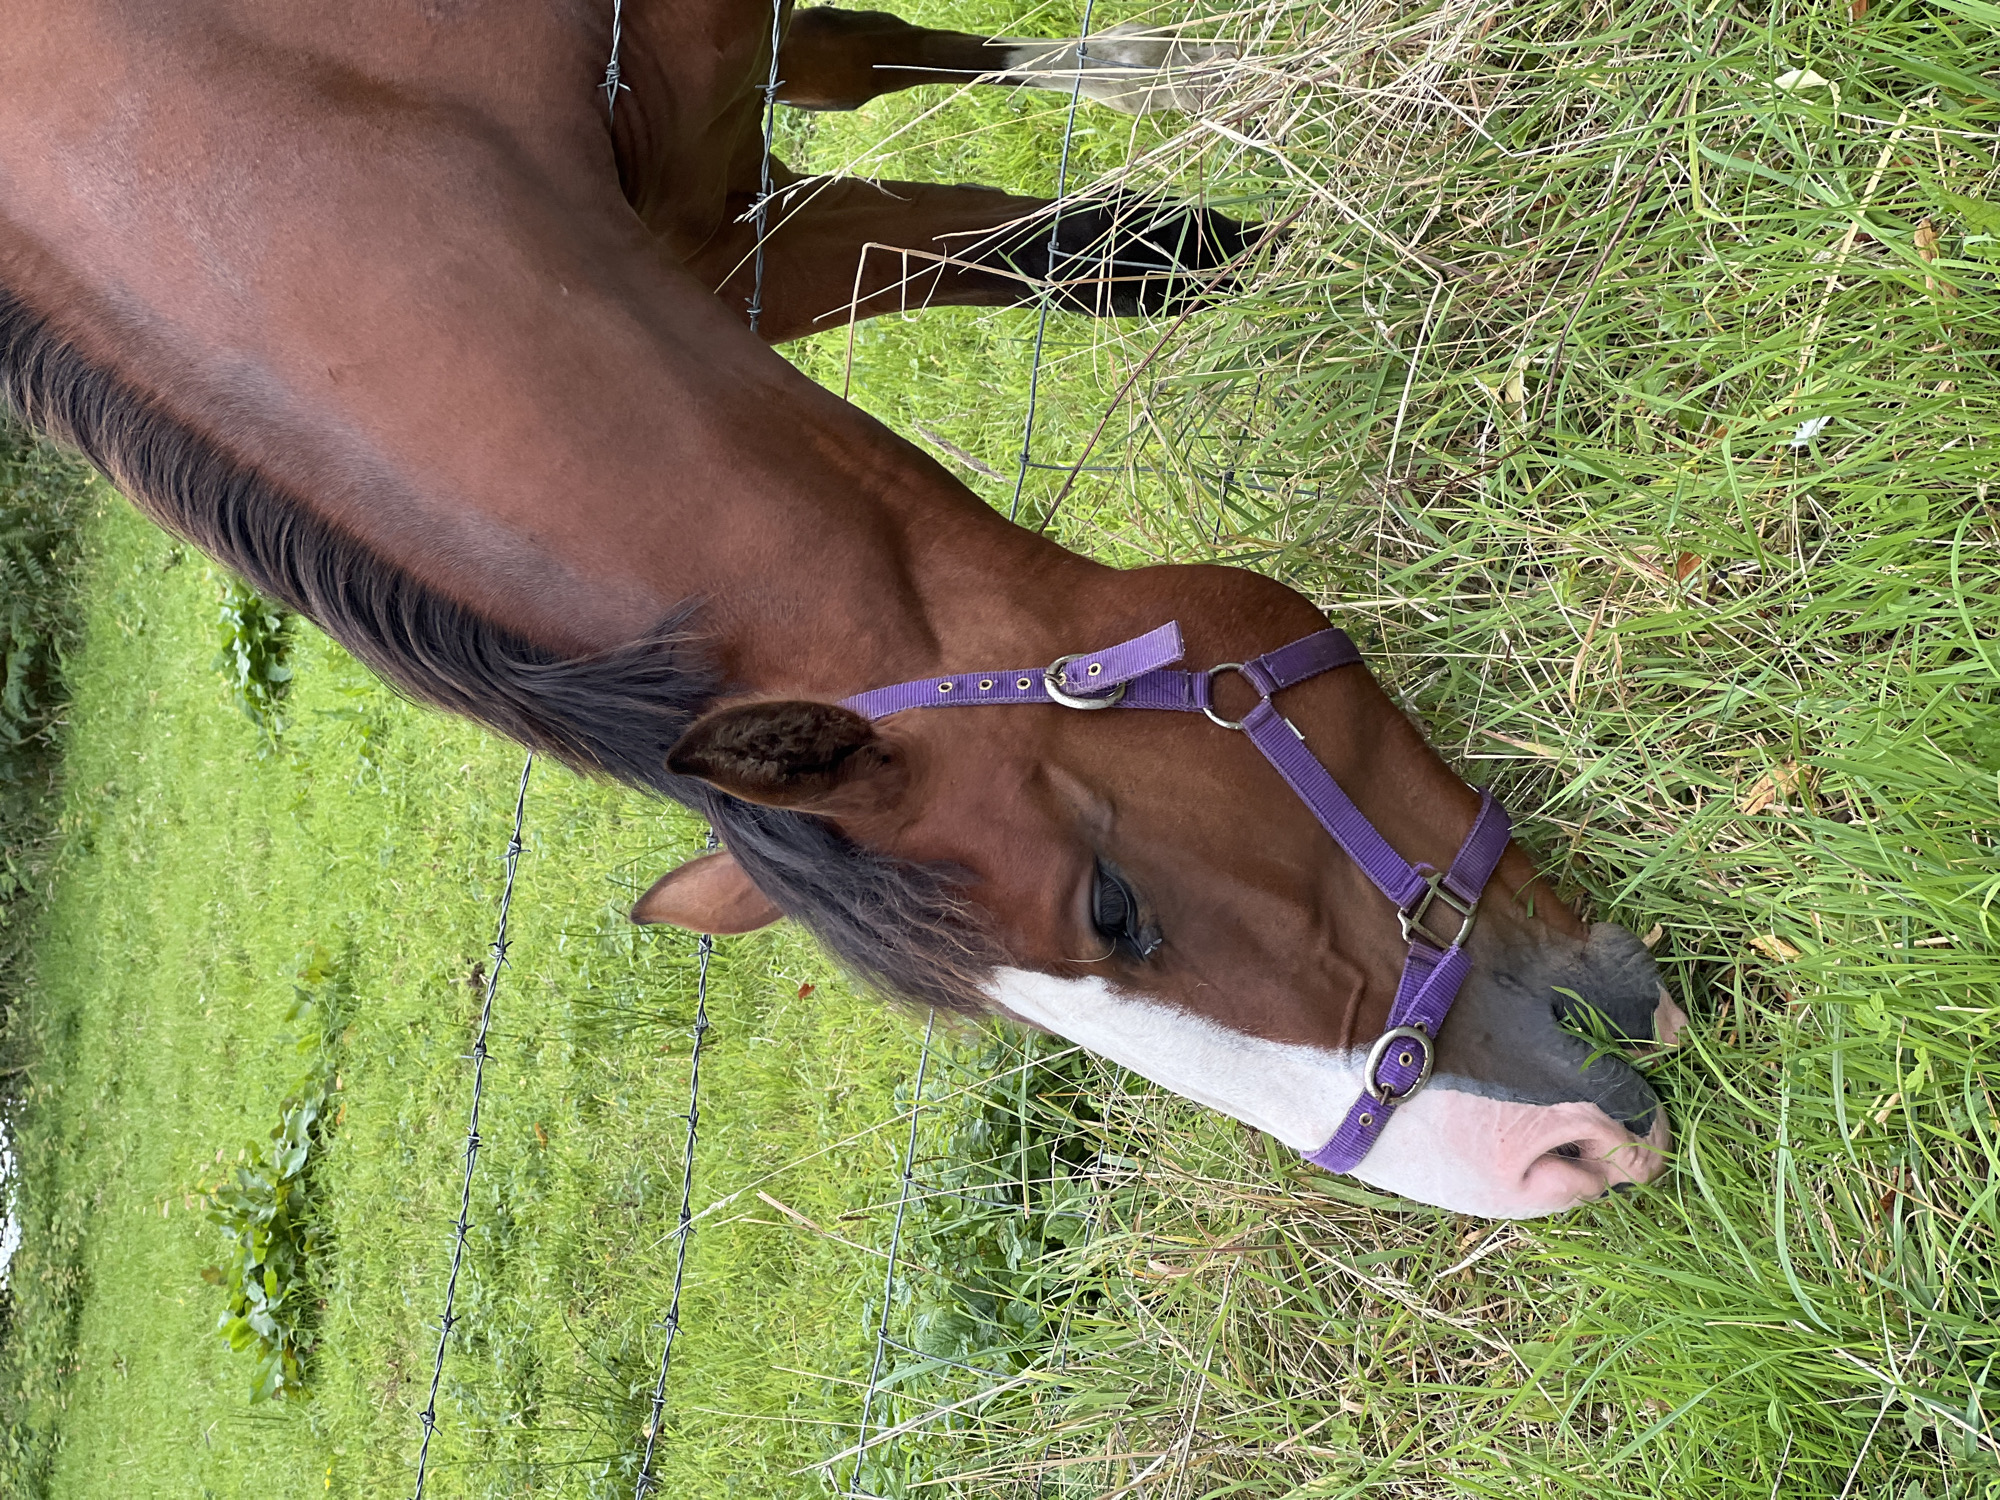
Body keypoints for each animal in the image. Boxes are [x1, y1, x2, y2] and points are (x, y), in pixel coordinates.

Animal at [0, 1, 1684, 1219]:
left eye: (1112, 907)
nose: (1541, 1170)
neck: (271, 98)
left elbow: (1079, 227)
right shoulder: (714, 232)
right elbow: (1077, 252)